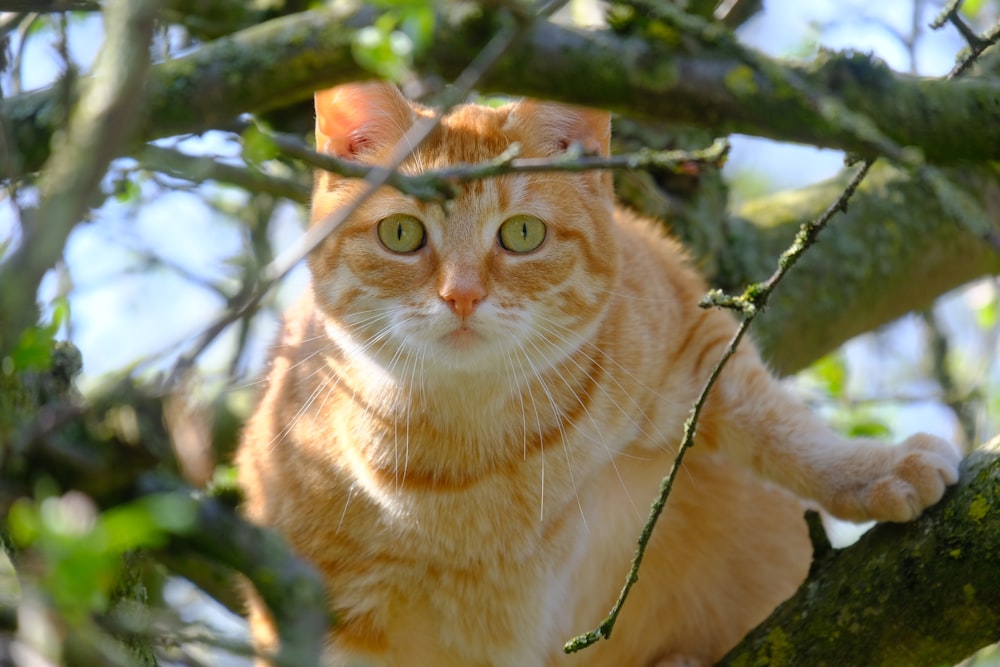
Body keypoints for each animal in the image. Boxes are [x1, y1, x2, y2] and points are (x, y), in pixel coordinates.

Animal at [236, 83, 960, 667]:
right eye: (402, 234)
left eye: (522, 234)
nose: (462, 295)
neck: (476, 458)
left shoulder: (697, 343)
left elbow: (785, 430)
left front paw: (874, 469)